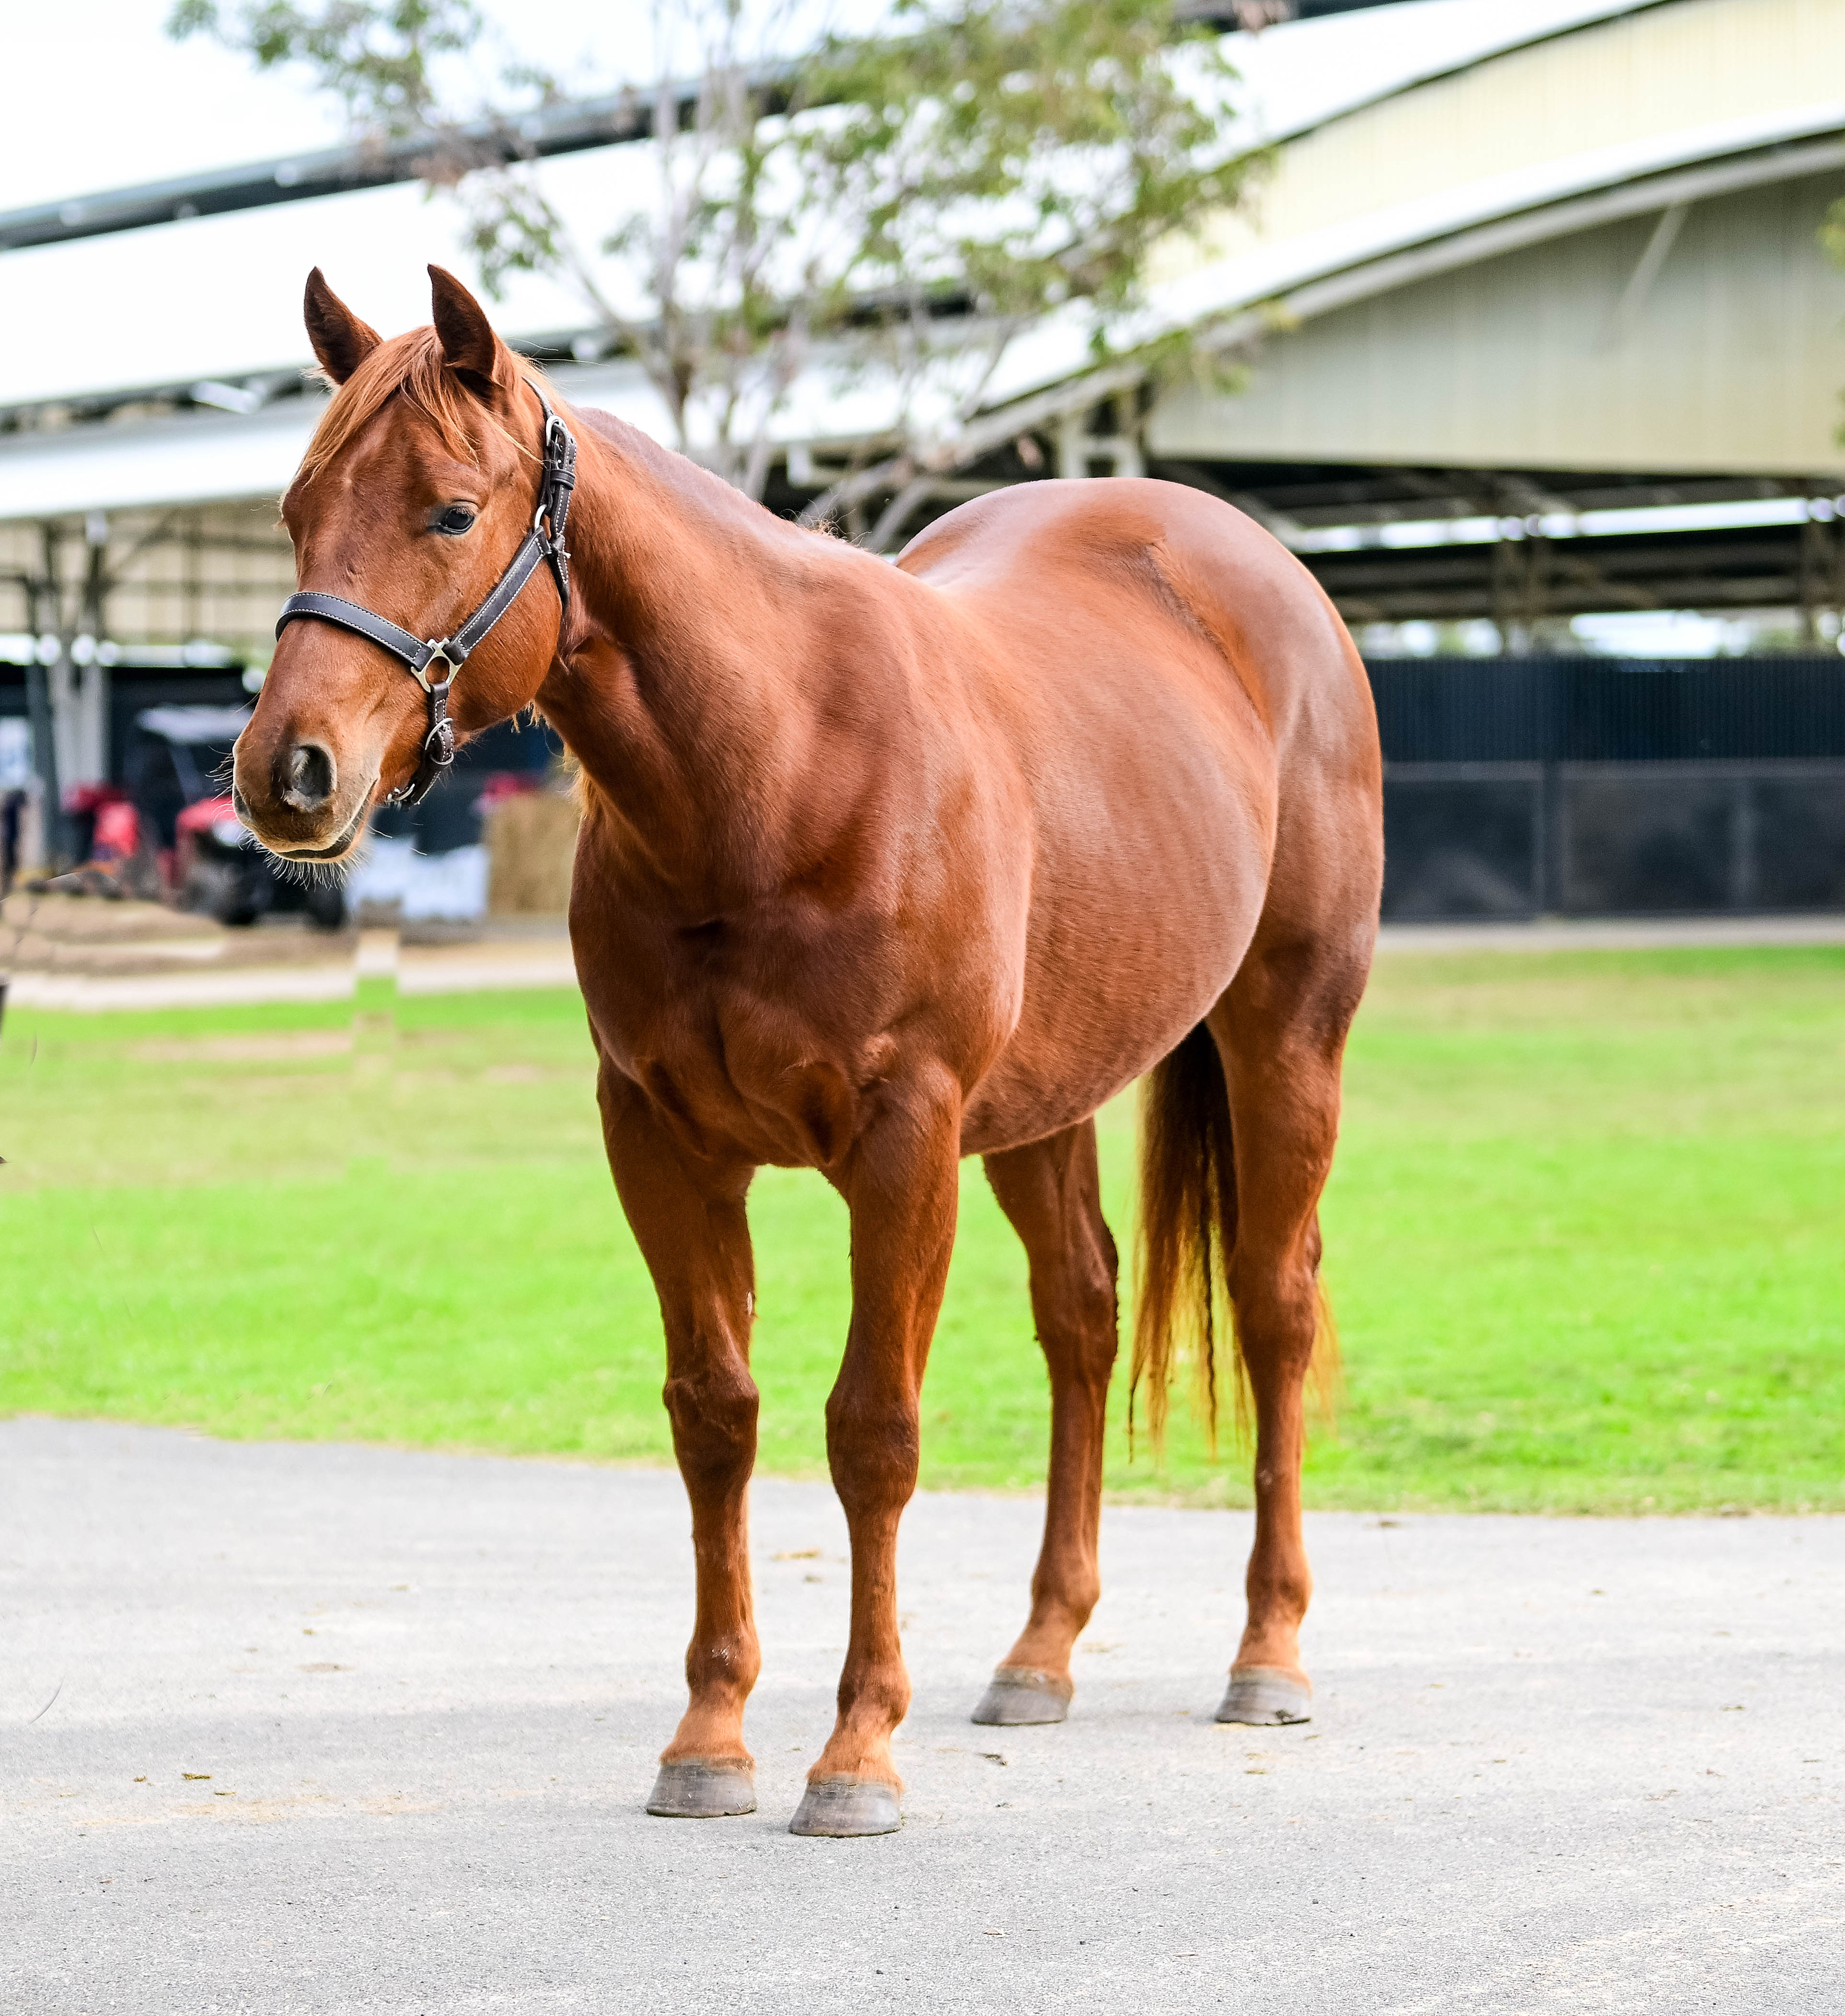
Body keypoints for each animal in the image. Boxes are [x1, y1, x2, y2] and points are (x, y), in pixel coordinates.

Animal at [233, 264, 1384, 1838]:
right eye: (297, 508)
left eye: (449, 515)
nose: (286, 773)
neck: (772, 773)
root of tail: (1253, 569)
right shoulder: (658, 1140)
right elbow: (714, 1415)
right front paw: (710, 1737)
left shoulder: (903, 1143)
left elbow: (871, 1433)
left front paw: (854, 1755)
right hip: (1043, 1103)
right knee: (1081, 1317)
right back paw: (1039, 1653)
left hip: (1286, 1039)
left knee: (1274, 1309)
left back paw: (1267, 1652)